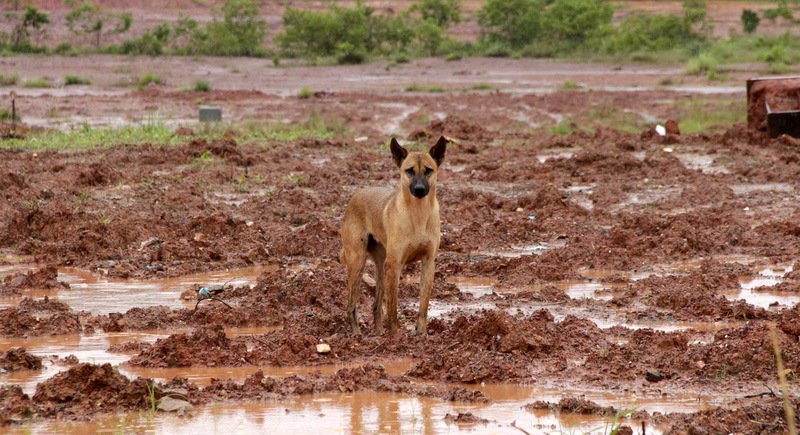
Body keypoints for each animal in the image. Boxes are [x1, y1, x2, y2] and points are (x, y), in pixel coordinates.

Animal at [340, 138, 446, 336]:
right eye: (409, 170)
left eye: (428, 170)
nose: (419, 189)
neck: (418, 214)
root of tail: (356, 195)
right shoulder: (395, 265)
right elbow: (393, 308)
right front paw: (396, 336)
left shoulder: (428, 263)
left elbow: (423, 304)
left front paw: (422, 334)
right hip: (357, 262)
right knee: (351, 305)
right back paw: (357, 334)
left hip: (381, 266)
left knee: (375, 305)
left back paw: (379, 333)